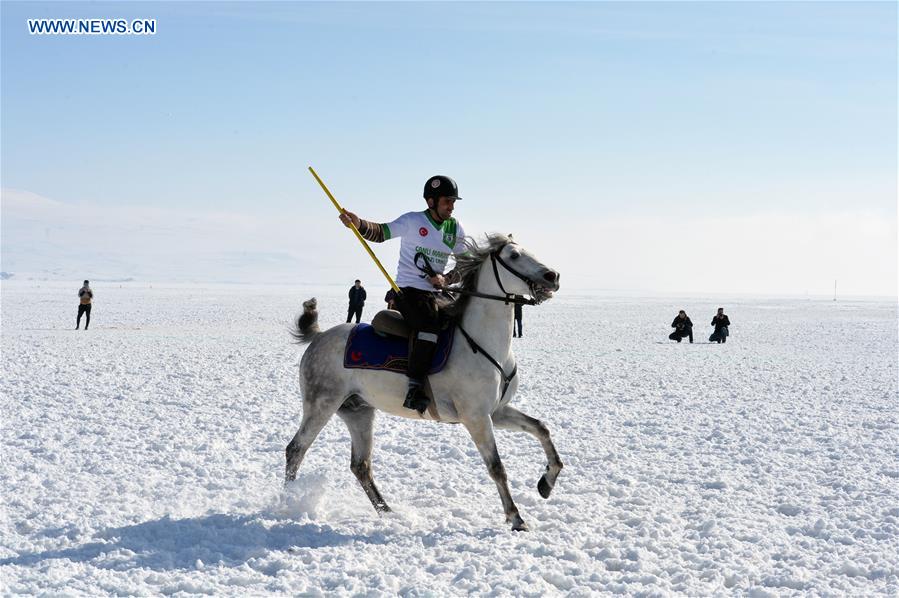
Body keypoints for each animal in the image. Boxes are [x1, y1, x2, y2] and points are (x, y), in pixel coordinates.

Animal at [284, 237, 560, 532]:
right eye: (514, 255)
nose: (553, 276)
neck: (481, 343)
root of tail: (320, 336)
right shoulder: (476, 417)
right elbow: (496, 467)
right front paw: (516, 518)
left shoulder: (496, 412)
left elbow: (541, 428)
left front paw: (546, 483)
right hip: (321, 403)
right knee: (296, 449)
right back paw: (288, 501)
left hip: (358, 410)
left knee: (360, 465)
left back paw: (387, 511)